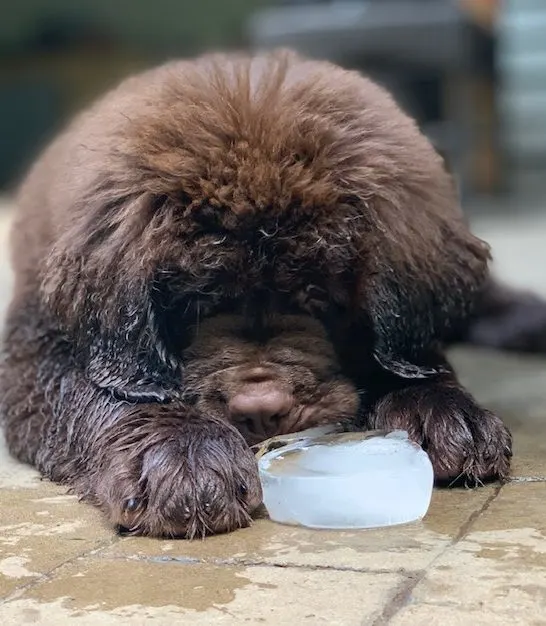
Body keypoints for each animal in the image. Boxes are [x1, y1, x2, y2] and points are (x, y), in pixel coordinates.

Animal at [0, 48, 536, 536]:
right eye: (198, 301)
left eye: (317, 294)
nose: (261, 409)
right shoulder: (35, 345)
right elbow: (94, 389)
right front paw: (184, 454)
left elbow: (411, 355)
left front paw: (443, 411)